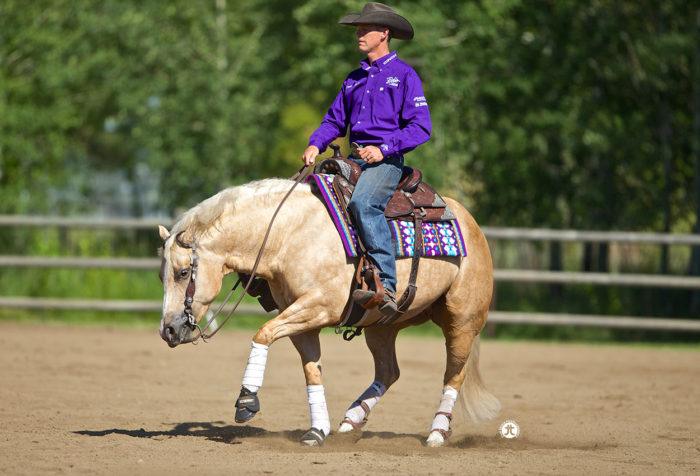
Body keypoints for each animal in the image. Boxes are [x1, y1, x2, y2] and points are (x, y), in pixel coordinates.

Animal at [157, 177, 500, 447]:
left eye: (183, 273)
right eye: (162, 275)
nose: (168, 330)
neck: (288, 234)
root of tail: (469, 221)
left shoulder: (318, 306)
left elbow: (263, 333)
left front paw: (246, 400)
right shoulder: (302, 321)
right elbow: (313, 371)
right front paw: (317, 430)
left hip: (462, 320)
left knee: (454, 373)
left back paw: (437, 432)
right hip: (382, 326)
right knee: (388, 372)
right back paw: (351, 420)